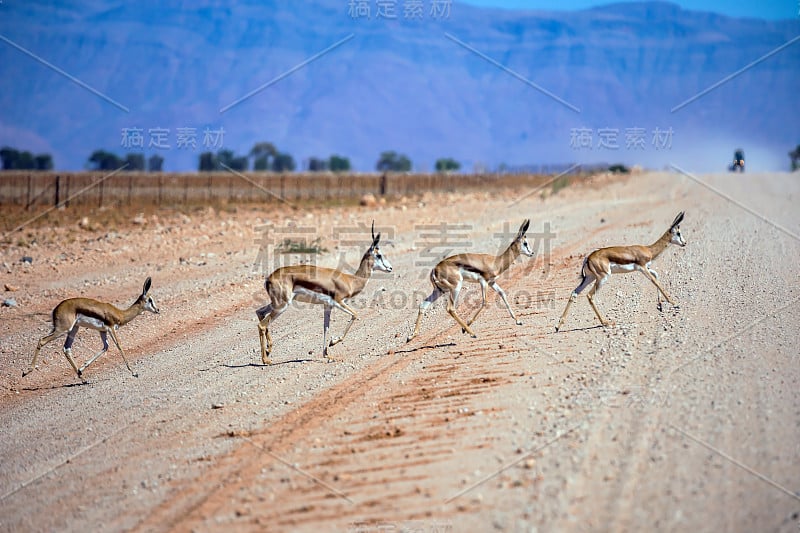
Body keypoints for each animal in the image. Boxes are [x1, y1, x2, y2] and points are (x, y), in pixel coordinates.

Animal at [23, 276, 159, 380]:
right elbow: (119, 346)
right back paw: (26, 371)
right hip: (63, 329)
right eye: (150, 300)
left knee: (66, 349)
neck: (120, 313)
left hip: (74, 329)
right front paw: (133, 372)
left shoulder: (102, 331)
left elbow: (105, 347)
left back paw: (82, 377)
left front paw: (82, 368)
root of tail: (56, 309)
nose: (157, 310)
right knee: (42, 340)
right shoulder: (111, 329)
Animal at [258, 219, 392, 362]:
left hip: (277, 304)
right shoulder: (339, 302)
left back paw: (268, 350)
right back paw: (266, 359)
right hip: (282, 305)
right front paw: (333, 342)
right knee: (262, 325)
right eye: (379, 255)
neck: (351, 280)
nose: (390, 268)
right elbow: (355, 314)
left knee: (260, 312)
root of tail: (269, 278)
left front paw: (327, 354)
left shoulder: (328, 306)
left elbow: (325, 327)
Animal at [556, 210, 688, 330]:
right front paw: (674, 303)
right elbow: (655, 281)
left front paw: (660, 304)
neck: (649, 250)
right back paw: (606, 323)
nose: (684, 243)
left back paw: (558, 326)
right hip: (602, 277)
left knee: (574, 293)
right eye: (678, 233)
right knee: (590, 295)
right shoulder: (642, 268)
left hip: (590, 278)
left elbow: (656, 276)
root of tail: (588, 257)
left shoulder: (647, 268)